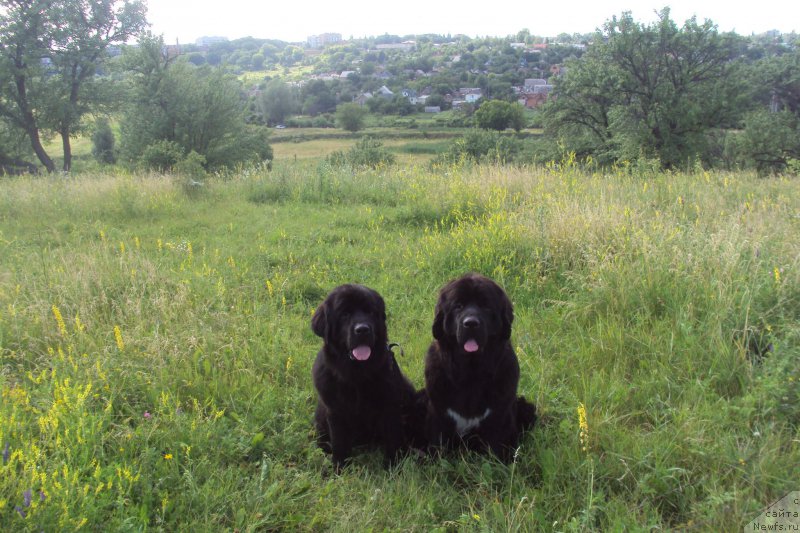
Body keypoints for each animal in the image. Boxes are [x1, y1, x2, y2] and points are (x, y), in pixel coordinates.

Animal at [310, 284, 416, 468]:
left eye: (370, 312)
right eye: (344, 314)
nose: (362, 329)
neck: (356, 375)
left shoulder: (390, 406)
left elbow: (393, 438)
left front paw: (392, 465)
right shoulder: (335, 411)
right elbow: (339, 442)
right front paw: (339, 468)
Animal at [422, 272, 536, 460]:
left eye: (486, 306)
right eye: (458, 306)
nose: (471, 323)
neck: (471, 372)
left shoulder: (500, 414)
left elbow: (496, 446)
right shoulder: (438, 413)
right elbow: (439, 444)